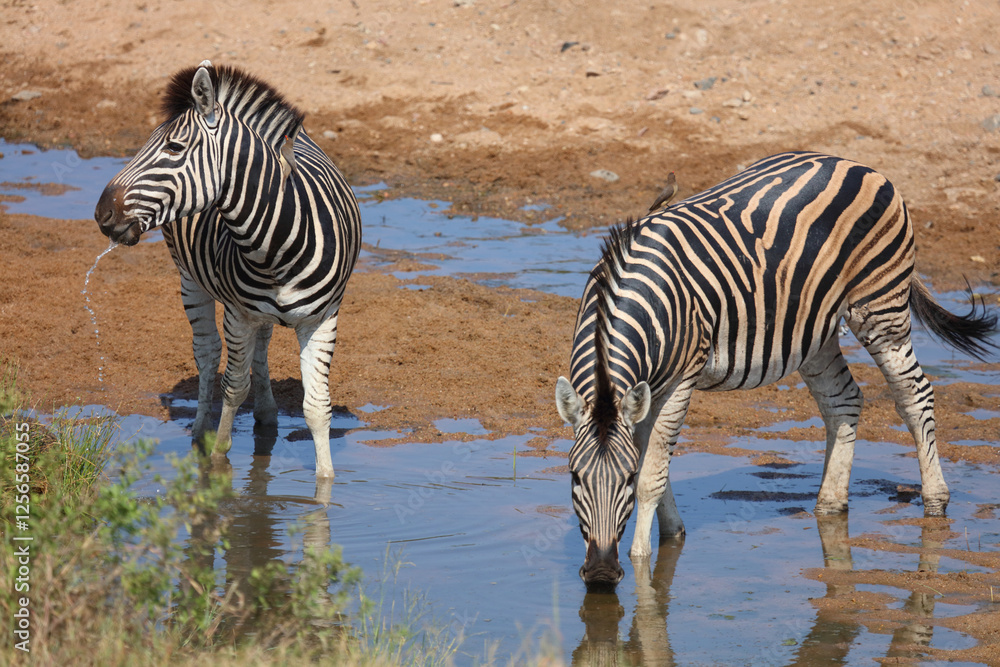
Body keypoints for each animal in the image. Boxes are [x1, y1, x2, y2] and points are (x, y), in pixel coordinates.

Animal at [95, 60, 362, 480]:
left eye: (174, 148)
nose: (101, 213)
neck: (277, 249)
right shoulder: (237, 315)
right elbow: (233, 388)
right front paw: (217, 461)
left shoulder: (322, 319)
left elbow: (317, 406)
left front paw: (326, 483)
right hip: (190, 280)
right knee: (207, 353)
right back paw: (201, 430)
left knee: (261, 346)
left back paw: (267, 414)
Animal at [555, 151, 998, 588]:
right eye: (574, 476)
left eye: (626, 479)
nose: (600, 573)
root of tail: (858, 164)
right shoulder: (647, 388)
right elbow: (654, 457)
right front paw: (673, 532)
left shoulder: (681, 377)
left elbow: (654, 471)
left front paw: (642, 561)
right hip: (813, 330)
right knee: (843, 400)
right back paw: (829, 504)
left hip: (881, 308)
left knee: (914, 395)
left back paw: (935, 500)